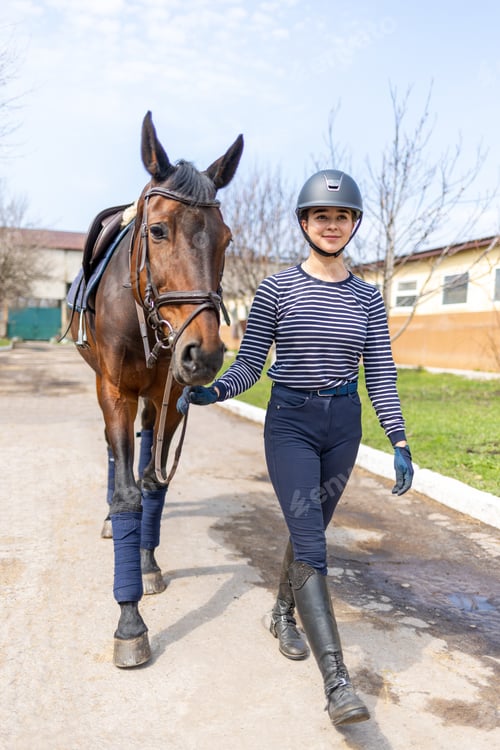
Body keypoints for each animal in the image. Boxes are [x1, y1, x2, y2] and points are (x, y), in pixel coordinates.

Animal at [70, 111, 243, 667]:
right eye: (158, 230)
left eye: (226, 239)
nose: (204, 354)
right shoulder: (115, 391)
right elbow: (127, 490)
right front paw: (129, 620)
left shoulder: (173, 401)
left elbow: (152, 483)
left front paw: (146, 563)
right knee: (113, 453)